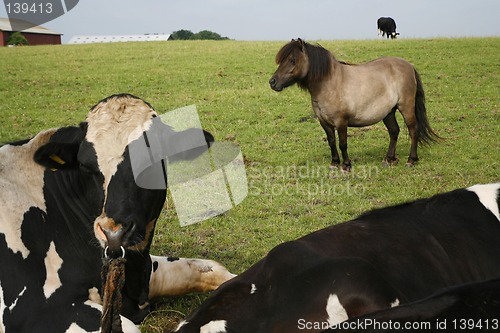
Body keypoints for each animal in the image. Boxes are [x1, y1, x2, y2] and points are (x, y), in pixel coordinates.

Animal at [270, 38, 438, 171]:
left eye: (292, 60)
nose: (272, 82)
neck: (329, 84)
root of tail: (409, 65)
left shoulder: (341, 121)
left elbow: (342, 143)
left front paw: (346, 165)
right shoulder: (324, 122)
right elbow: (332, 142)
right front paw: (334, 163)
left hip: (406, 107)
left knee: (413, 130)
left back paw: (411, 160)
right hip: (388, 111)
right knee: (394, 131)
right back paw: (389, 159)